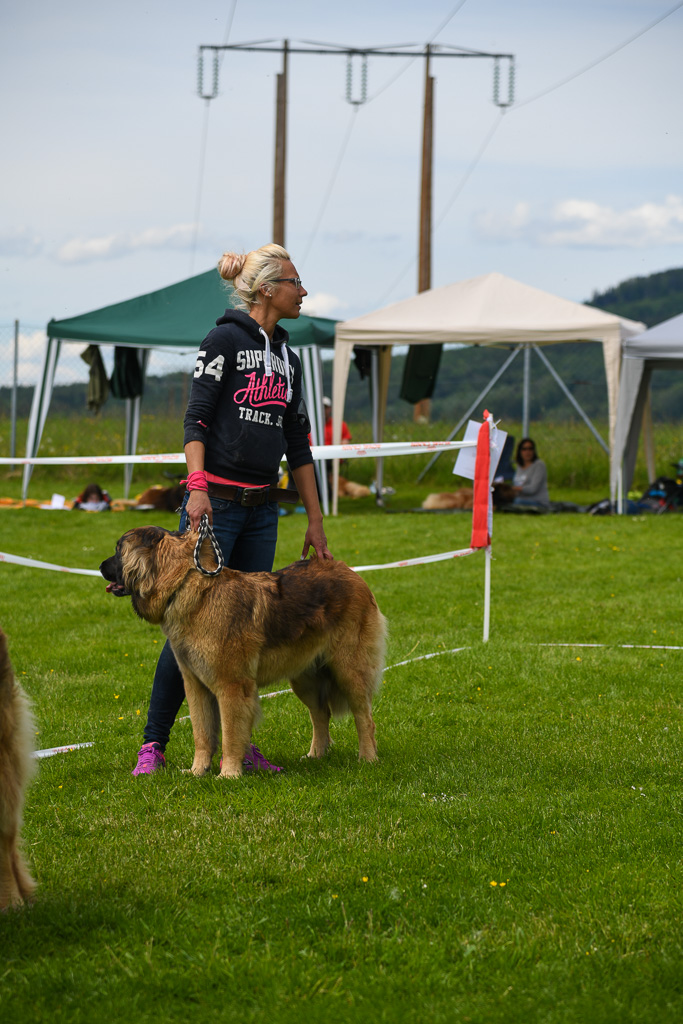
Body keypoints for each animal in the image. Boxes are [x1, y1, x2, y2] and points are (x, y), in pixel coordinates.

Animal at [100, 527, 387, 778]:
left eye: (117, 550)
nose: (101, 567)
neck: (187, 586)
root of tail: (348, 571)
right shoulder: (195, 686)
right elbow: (202, 734)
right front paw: (197, 771)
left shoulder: (231, 687)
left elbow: (230, 734)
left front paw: (229, 774)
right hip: (304, 677)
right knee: (320, 713)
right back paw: (315, 755)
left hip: (349, 670)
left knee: (364, 717)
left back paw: (368, 758)